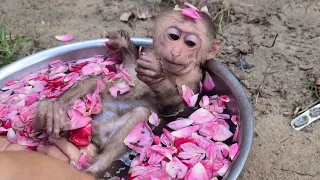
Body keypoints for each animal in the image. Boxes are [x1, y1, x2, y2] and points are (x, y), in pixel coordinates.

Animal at [33, 5, 222, 177]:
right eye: (173, 36)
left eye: (190, 43)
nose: (176, 51)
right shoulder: (148, 53)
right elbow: (130, 66)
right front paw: (122, 42)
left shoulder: (193, 79)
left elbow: (179, 110)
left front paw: (158, 79)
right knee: (94, 82)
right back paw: (51, 113)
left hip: (106, 131)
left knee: (141, 114)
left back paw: (97, 167)